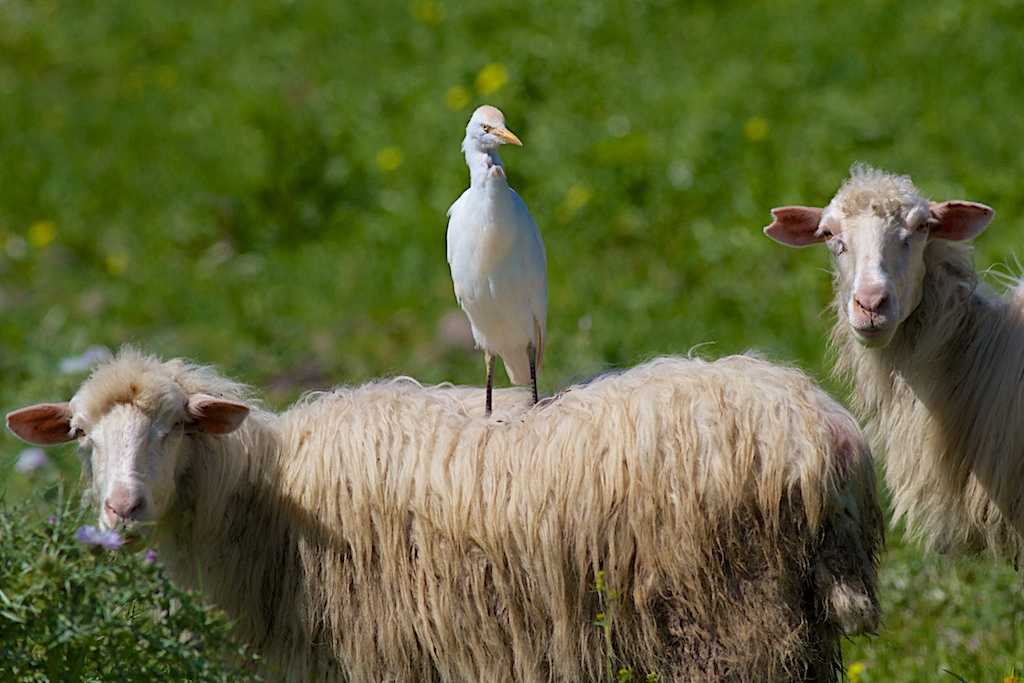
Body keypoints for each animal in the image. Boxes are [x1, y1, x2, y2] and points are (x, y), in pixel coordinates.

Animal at [7, 349, 883, 682]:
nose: (122, 505)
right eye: (82, 436)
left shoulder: (381, 647)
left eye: (175, 425)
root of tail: (831, 435)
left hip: (731, 621)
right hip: (792, 623)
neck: (270, 489)